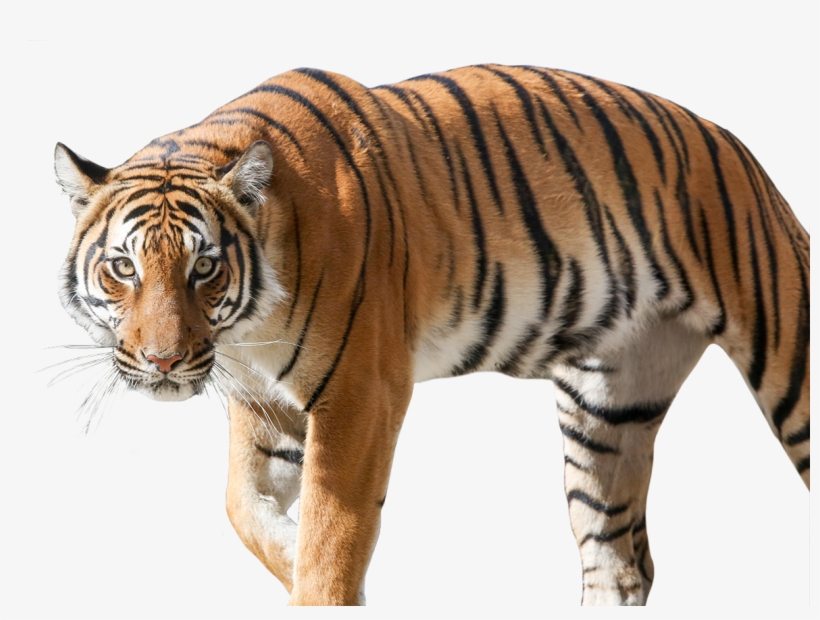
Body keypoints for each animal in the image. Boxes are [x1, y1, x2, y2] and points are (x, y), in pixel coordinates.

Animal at [54, 64, 810, 606]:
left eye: (204, 268)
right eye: (124, 268)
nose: (162, 361)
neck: (248, 329)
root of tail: (737, 147)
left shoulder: (360, 395)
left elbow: (333, 532)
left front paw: (327, 584)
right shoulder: (264, 405)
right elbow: (245, 508)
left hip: (790, 360)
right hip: (607, 410)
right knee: (620, 561)